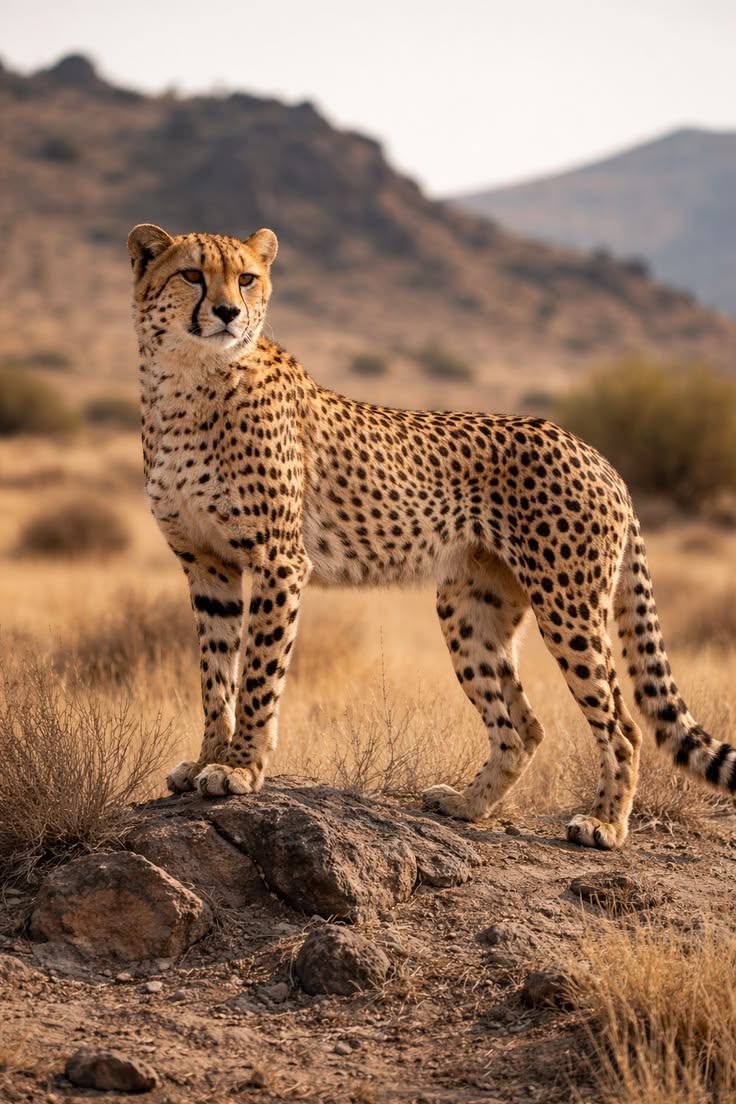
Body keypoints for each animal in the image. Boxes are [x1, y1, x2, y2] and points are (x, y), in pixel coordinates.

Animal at [128, 222, 736, 850]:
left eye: (246, 278)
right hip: (470, 607)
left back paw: (605, 823)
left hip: (568, 604)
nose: (228, 312)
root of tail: (595, 452)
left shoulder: (279, 561)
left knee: (622, 724)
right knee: (524, 726)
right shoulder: (207, 564)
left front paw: (241, 768)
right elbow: (215, 676)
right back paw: (468, 805)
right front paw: (207, 760)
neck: (188, 378)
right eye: (192, 274)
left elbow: (257, 674)